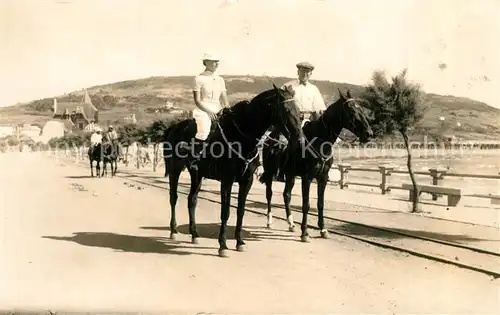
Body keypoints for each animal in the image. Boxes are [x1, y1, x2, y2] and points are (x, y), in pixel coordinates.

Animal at [165, 84, 304, 256]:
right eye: (286, 109)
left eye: (299, 111)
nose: (300, 139)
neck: (240, 136)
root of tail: (174, 127)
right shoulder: (227, 180)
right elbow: (225, 212)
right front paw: (223, 245)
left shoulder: (247, 180)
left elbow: (240, 211)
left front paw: (239, 242)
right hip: (175, 170)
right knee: (174, 198)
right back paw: (173, 231)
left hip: (196, 174)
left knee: (192, 200)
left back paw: (195, 234)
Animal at [260, 90, 374, 243]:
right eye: (351, 111)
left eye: (361, 109)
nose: (369, 134)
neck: (319, 142)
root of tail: (269, 138)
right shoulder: (307, 178)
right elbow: (306, 205)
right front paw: (305, 233)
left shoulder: (322, 178)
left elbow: (320, 204)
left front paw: (323, 230)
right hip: (270, 172)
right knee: (269, 194)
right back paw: (269, 221)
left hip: (290, 175)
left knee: (286, 195)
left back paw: (291, 224)